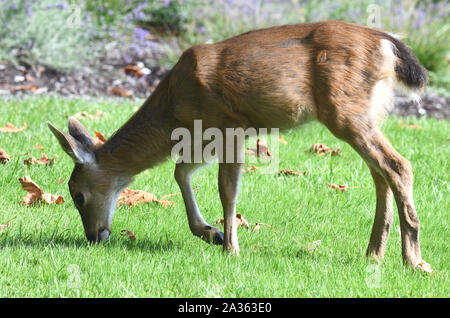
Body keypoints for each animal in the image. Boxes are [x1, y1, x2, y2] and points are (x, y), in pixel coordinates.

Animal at [46, 20, 432, 270]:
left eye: (78, 196)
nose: (94, 236)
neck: (174, 108)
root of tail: (388, 43)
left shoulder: (229, 127)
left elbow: (226, 189)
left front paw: (230, 248)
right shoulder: (204, 136)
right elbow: (181, 172)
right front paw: (210, 233)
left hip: (345, 110)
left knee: (398, 165)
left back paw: (413, 258)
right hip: (366, 113)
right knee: (381, 173)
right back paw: (374, 253)